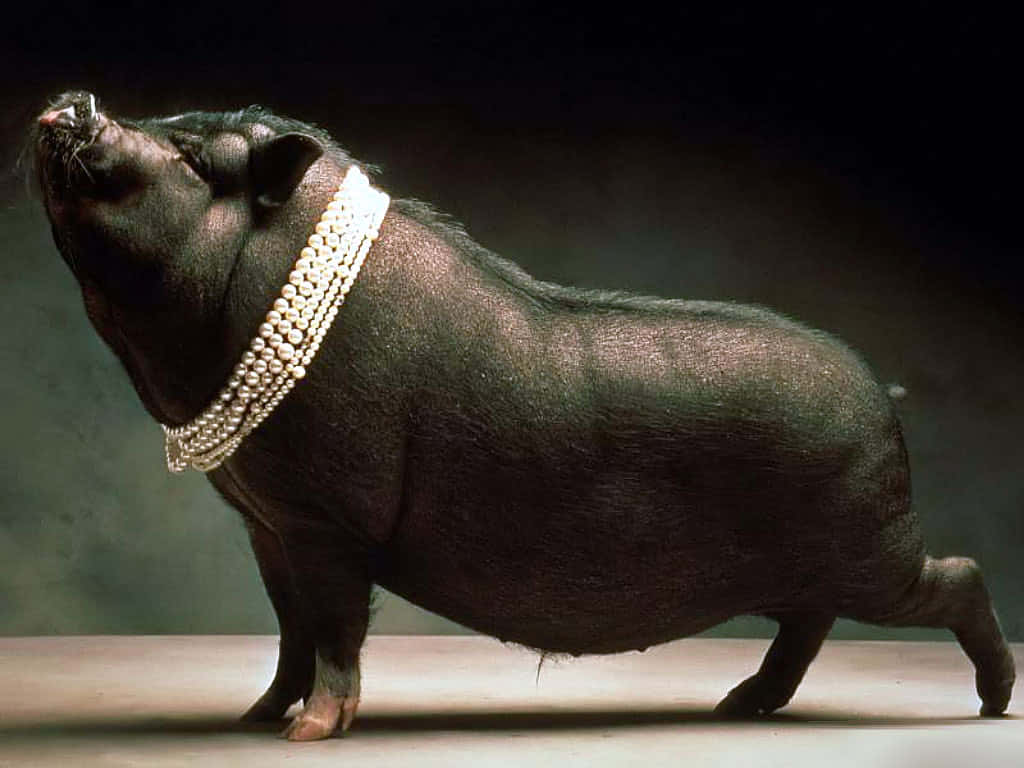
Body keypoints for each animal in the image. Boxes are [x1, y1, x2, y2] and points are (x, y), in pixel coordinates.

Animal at [33, 91, 1014, 740]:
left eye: (195, 160)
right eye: (167, 122)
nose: (75, 100)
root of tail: (879, 396)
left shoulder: (327, 523)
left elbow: (335, 626)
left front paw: (309, 732)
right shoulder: (267, 526)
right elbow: (289, 630)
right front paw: (255, 717)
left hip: (869, 549)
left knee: (959, 575)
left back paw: (993, 705)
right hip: (820, 564)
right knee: (807, 625)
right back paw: (739, 703)